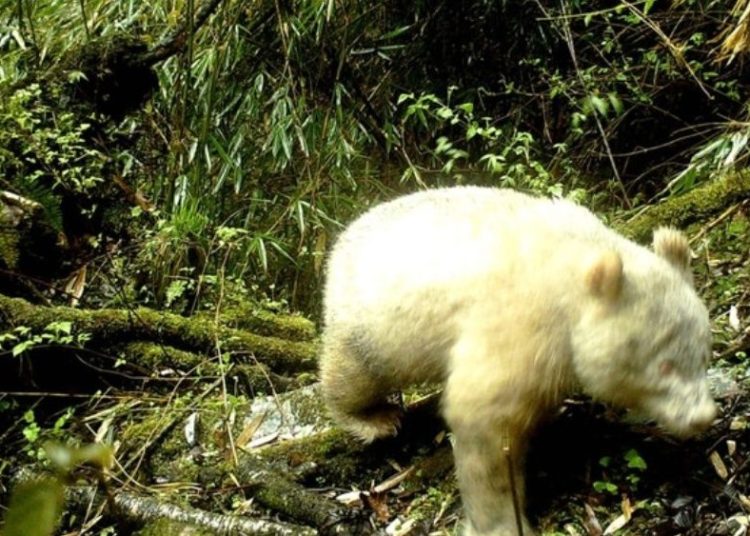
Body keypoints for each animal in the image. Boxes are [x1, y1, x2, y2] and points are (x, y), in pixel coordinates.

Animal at [319, 186, 717, 536]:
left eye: (704, 354)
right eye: (665, 365)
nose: (702, 417)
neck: (574, 272)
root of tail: (343, 239)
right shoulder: (522, 322)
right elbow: (484, 418)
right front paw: (502, 522)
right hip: (371, 322)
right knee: (354, 373)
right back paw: (374, 418)